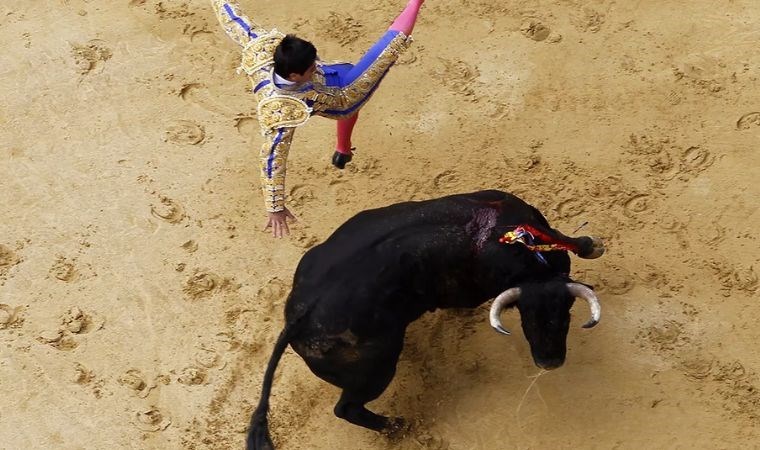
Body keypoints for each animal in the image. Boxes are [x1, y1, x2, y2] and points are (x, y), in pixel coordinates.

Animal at [248, 191, 604, 450]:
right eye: (527, 321)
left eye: (565, 317)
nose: (549, 362)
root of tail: (298, 317)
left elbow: (570, 241)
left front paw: (591, 245)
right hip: (375, 370)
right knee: (347, 408)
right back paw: (399, 425)